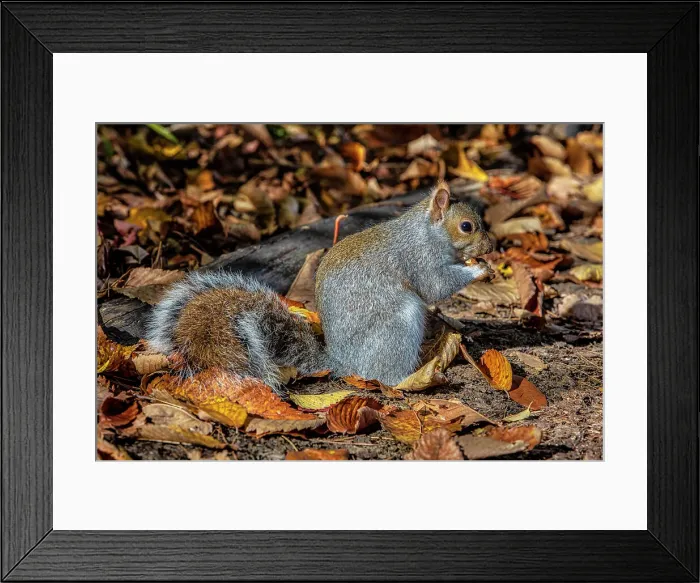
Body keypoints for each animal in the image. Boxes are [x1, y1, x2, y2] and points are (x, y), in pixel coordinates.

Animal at [145, 180, 494, 392]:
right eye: (466, 226)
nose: (490, 248)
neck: (426, 232)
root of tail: (342, 364)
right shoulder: (419, 259)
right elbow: (435, 286)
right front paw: (477, 269)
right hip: (398, 326)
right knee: (384, 375)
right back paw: (411, 378)